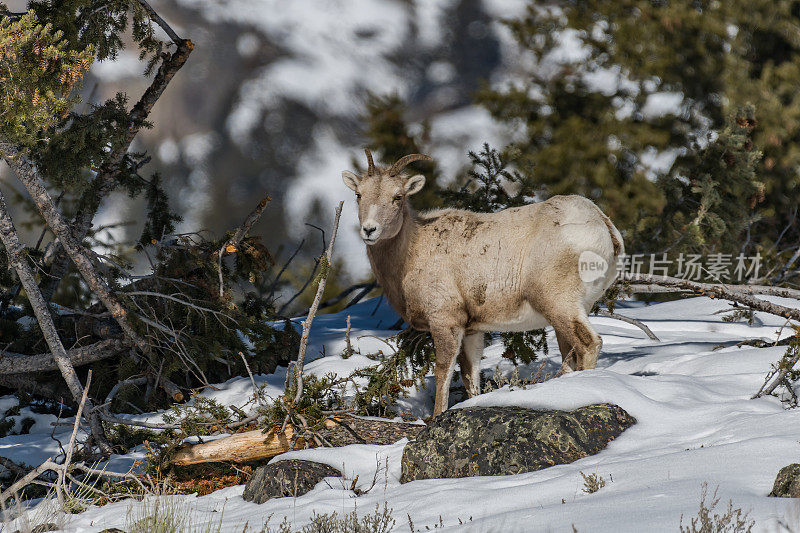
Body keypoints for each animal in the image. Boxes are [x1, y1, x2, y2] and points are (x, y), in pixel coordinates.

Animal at [340, 150, 620, 416]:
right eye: (358, 194)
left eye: (397, 197)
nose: (369, 230)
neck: (413, 250)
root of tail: (602, 224)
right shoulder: (471, 330)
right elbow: (470, 377)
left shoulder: (445, 322)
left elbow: (443, 372)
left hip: (559, 304)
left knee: (588, 343)